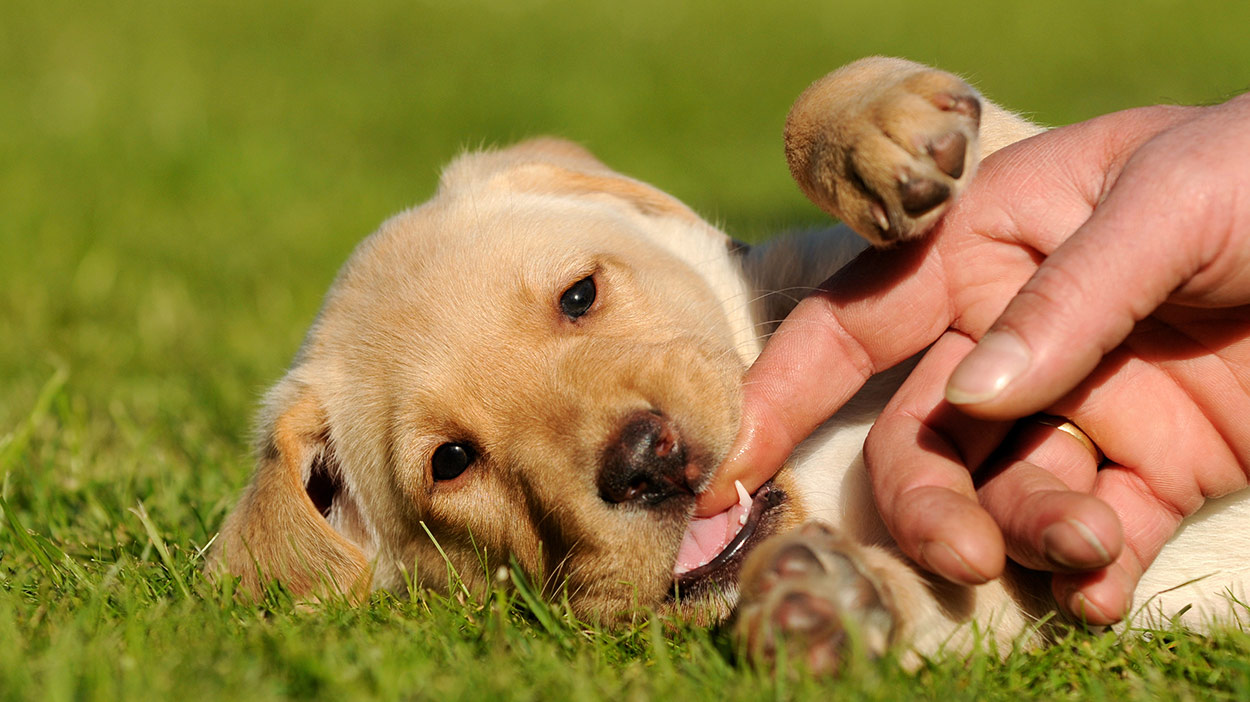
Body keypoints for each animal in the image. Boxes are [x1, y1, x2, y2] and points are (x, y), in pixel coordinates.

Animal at [212, 57, 1250, 669]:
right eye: (452, 462)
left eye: (579, 296)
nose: (644, 464)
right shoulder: (1031, 612)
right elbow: (949, 608)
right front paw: (832, 604)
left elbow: (955, 140)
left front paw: (880, 128)